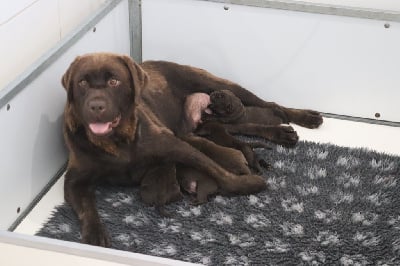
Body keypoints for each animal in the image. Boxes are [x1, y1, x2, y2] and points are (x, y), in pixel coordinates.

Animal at [61, 52, 322, 247]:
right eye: (82, 83)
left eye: (114, 81)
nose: (96, 106)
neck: (116, 141)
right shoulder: (74, 179)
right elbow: (86, 208)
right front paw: (94, 235)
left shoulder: (176, 145)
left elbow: (217, 170)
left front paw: (247, 184)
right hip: (213, 121)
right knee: (244, 125)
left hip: (217, 85)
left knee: (272, 105)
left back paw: (304, 118)